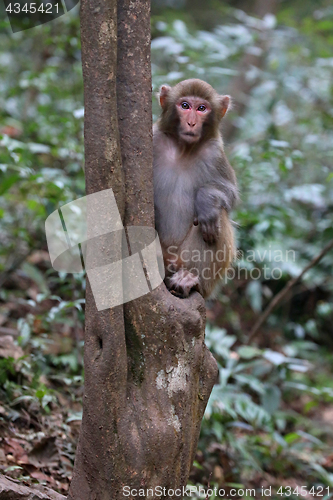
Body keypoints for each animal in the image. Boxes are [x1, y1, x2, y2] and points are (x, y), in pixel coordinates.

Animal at [152, 77, 237, 296]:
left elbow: (230, 193)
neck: (183, 149)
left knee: (217, 217)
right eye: (185, 106)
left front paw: (206, 201)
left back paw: (190, 281)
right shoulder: (154, 138)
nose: (191, 122)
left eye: (201, 108)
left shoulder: (214, 153)